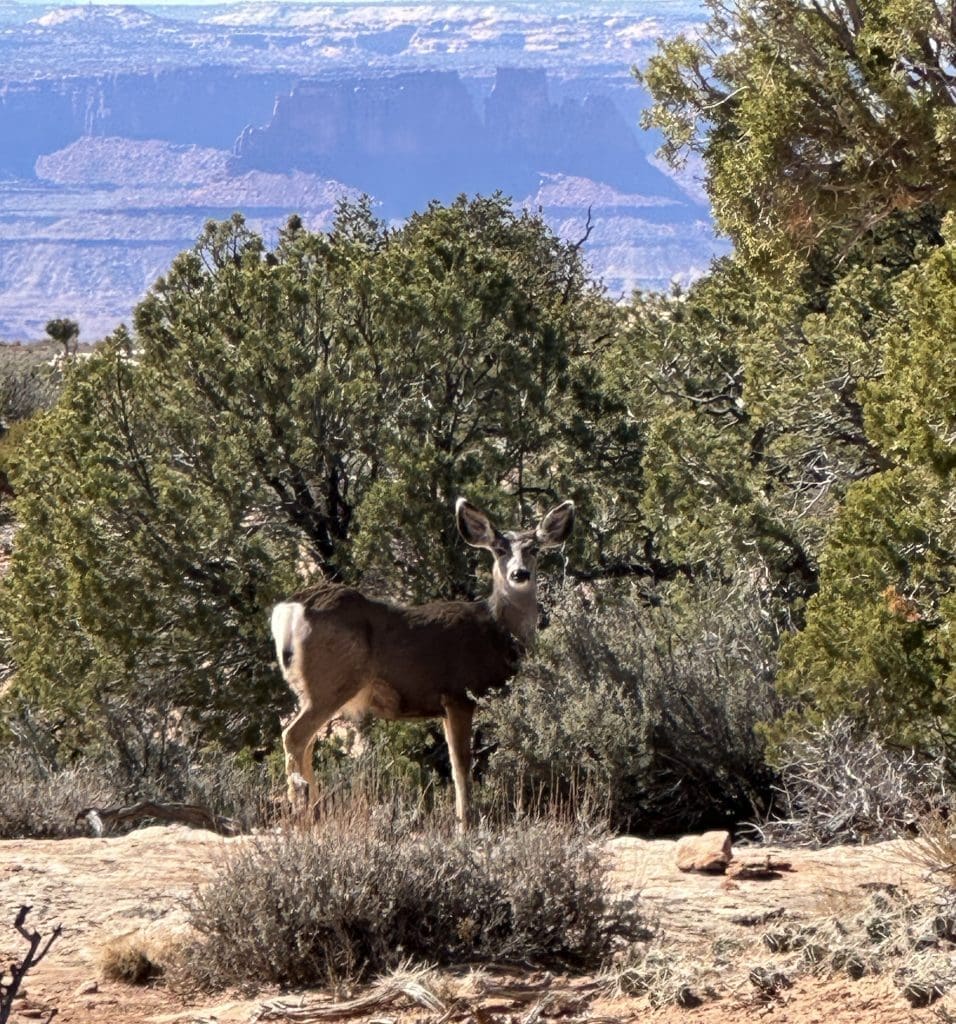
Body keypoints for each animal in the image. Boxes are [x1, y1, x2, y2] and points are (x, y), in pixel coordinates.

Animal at [270, 496, 575, 830]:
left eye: (534, 549)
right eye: (499, 549)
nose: (519, 574)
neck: (497, 630)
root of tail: (290, 608)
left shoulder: (444, 705)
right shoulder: (458, 694)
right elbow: (461, 764)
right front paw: (465, 824)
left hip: (311, 690)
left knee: (307, 743)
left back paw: (314, 810)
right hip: (331, 682)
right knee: (294, 736)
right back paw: (303, 812)